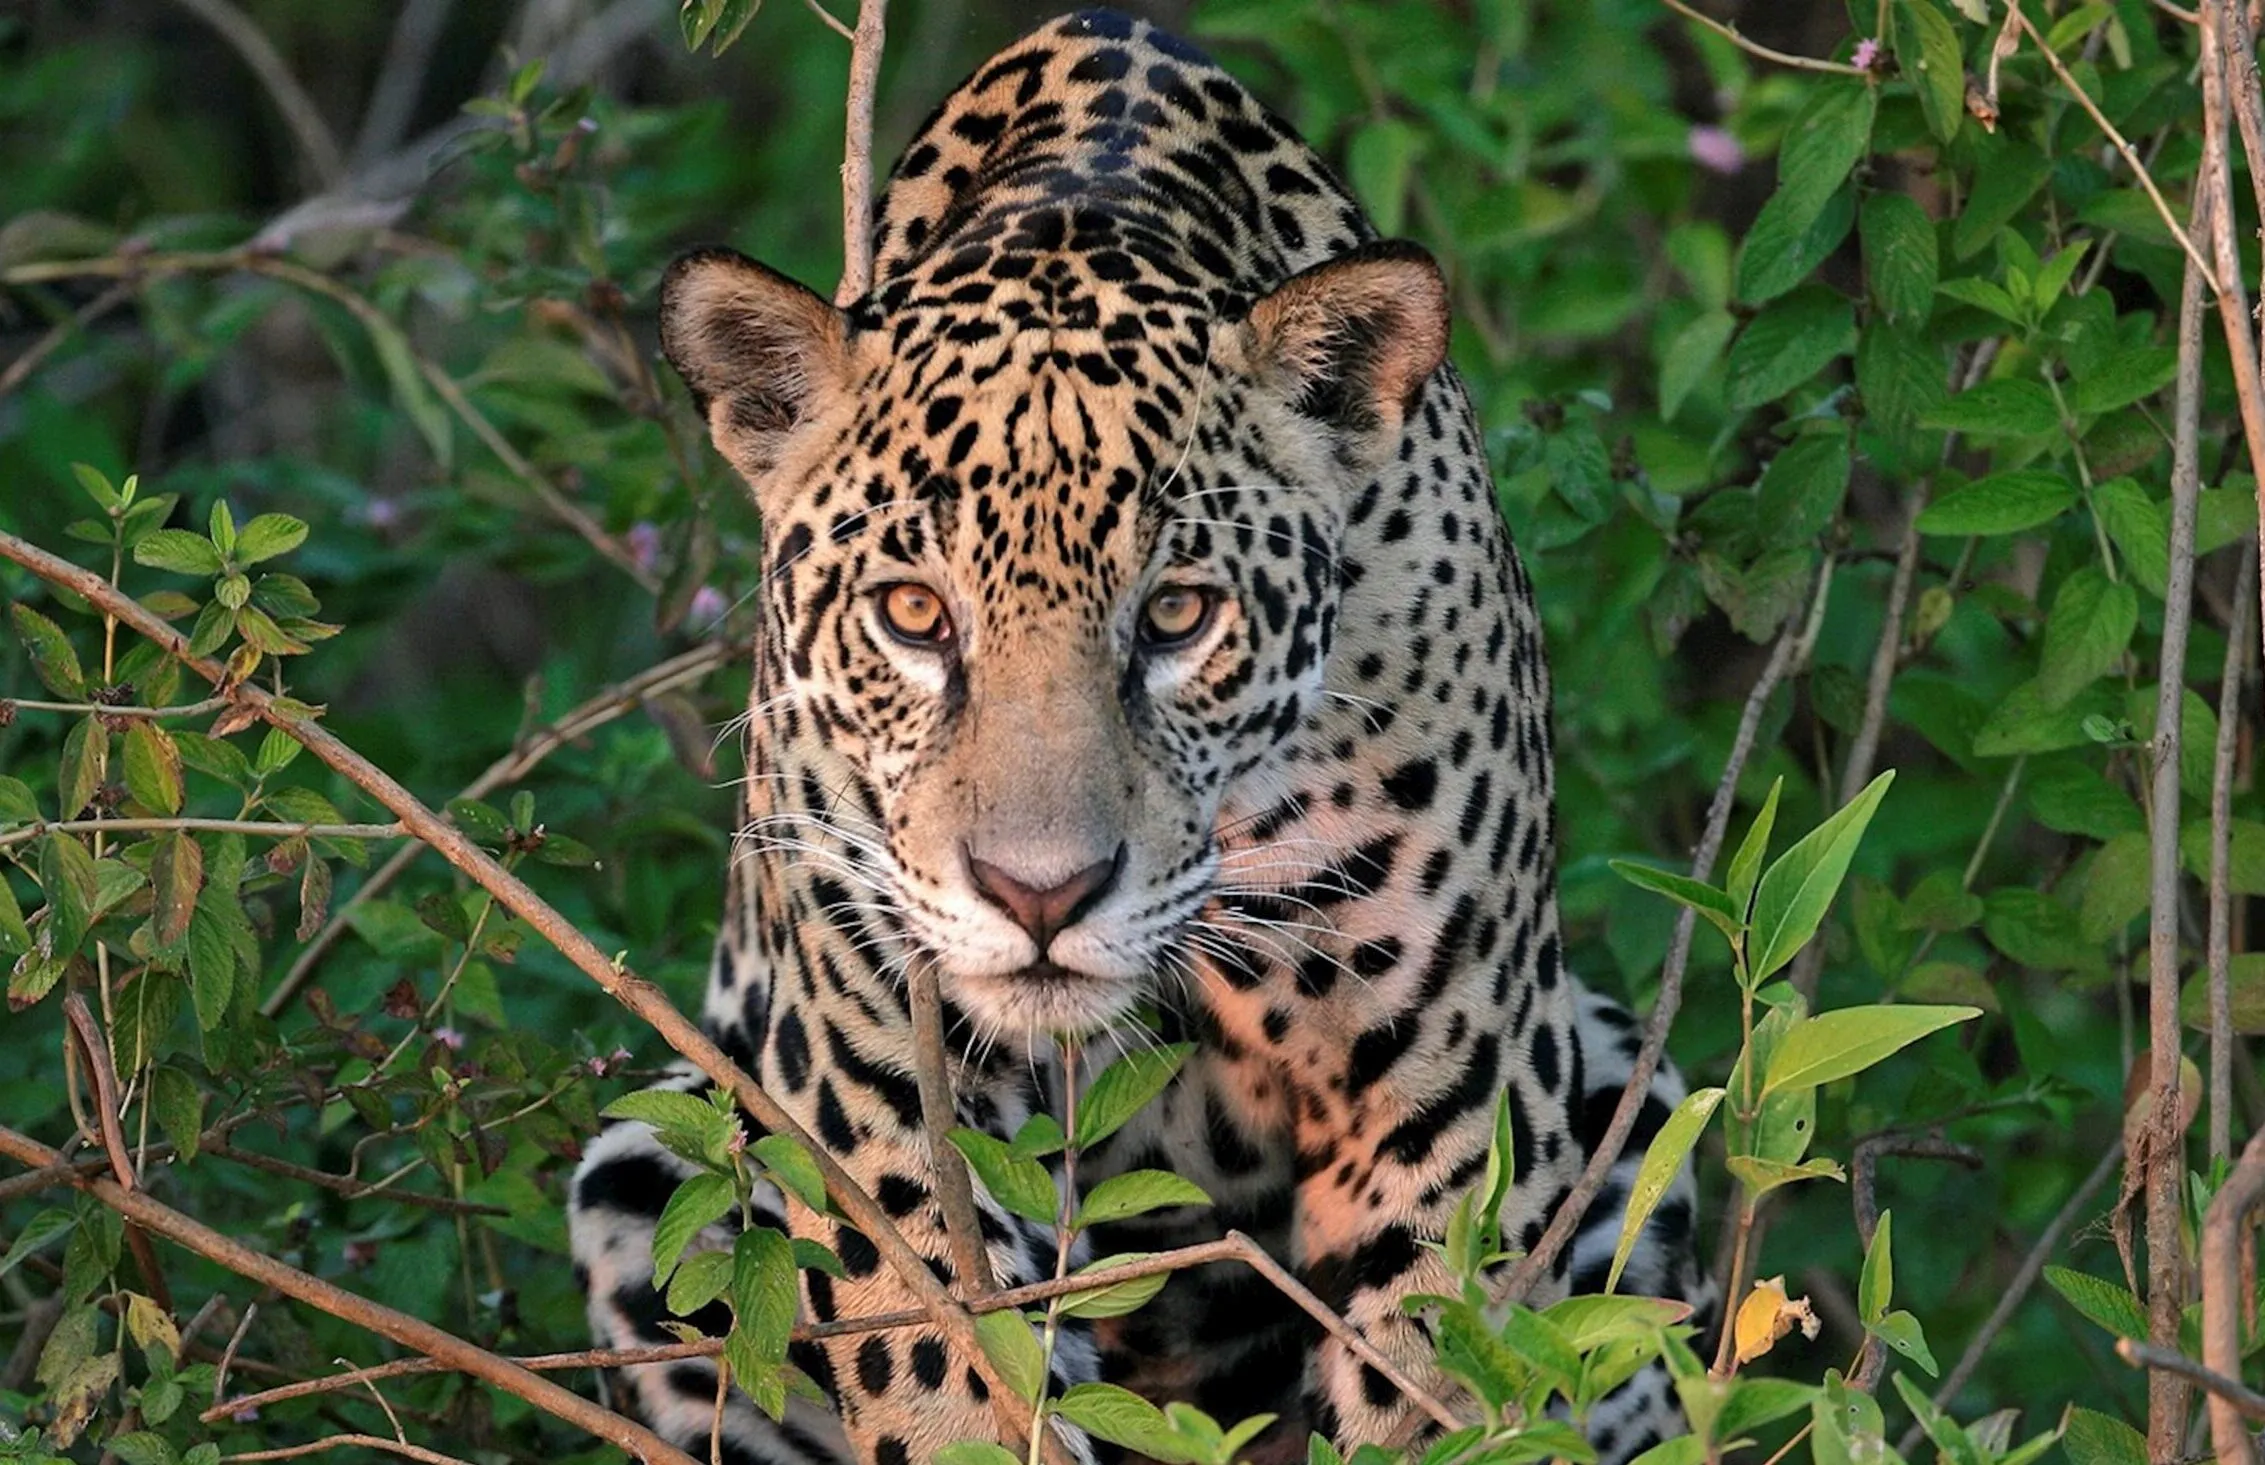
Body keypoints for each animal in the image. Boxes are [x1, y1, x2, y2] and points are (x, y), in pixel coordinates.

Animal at [568, 11, 1707, 1465]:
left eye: (1176, 614)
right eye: (912, 613)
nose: (1040, 895)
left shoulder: (1449, 1092)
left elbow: (1437, 1373)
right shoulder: (867, 1066)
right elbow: (946, 1362)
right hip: (649, 1164)